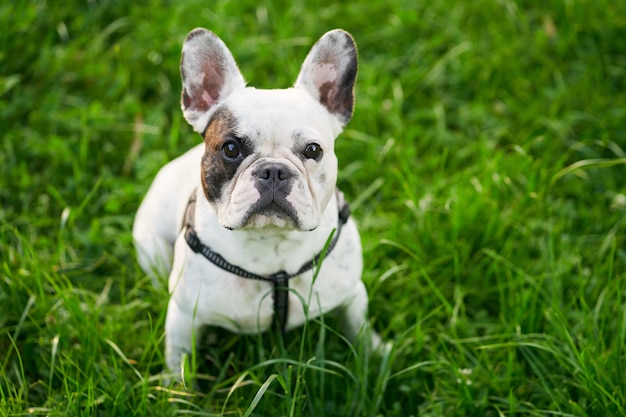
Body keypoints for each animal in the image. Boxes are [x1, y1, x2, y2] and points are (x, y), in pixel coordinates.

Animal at [132, 27, 378, 372]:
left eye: (313, 150)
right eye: (231, 148)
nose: (273, 171)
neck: (271, 246)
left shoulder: (352, 293)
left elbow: (358, 327)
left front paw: (375, 356)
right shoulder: (183, 316)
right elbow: (179, 358)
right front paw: (174, 385)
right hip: (150, 248)